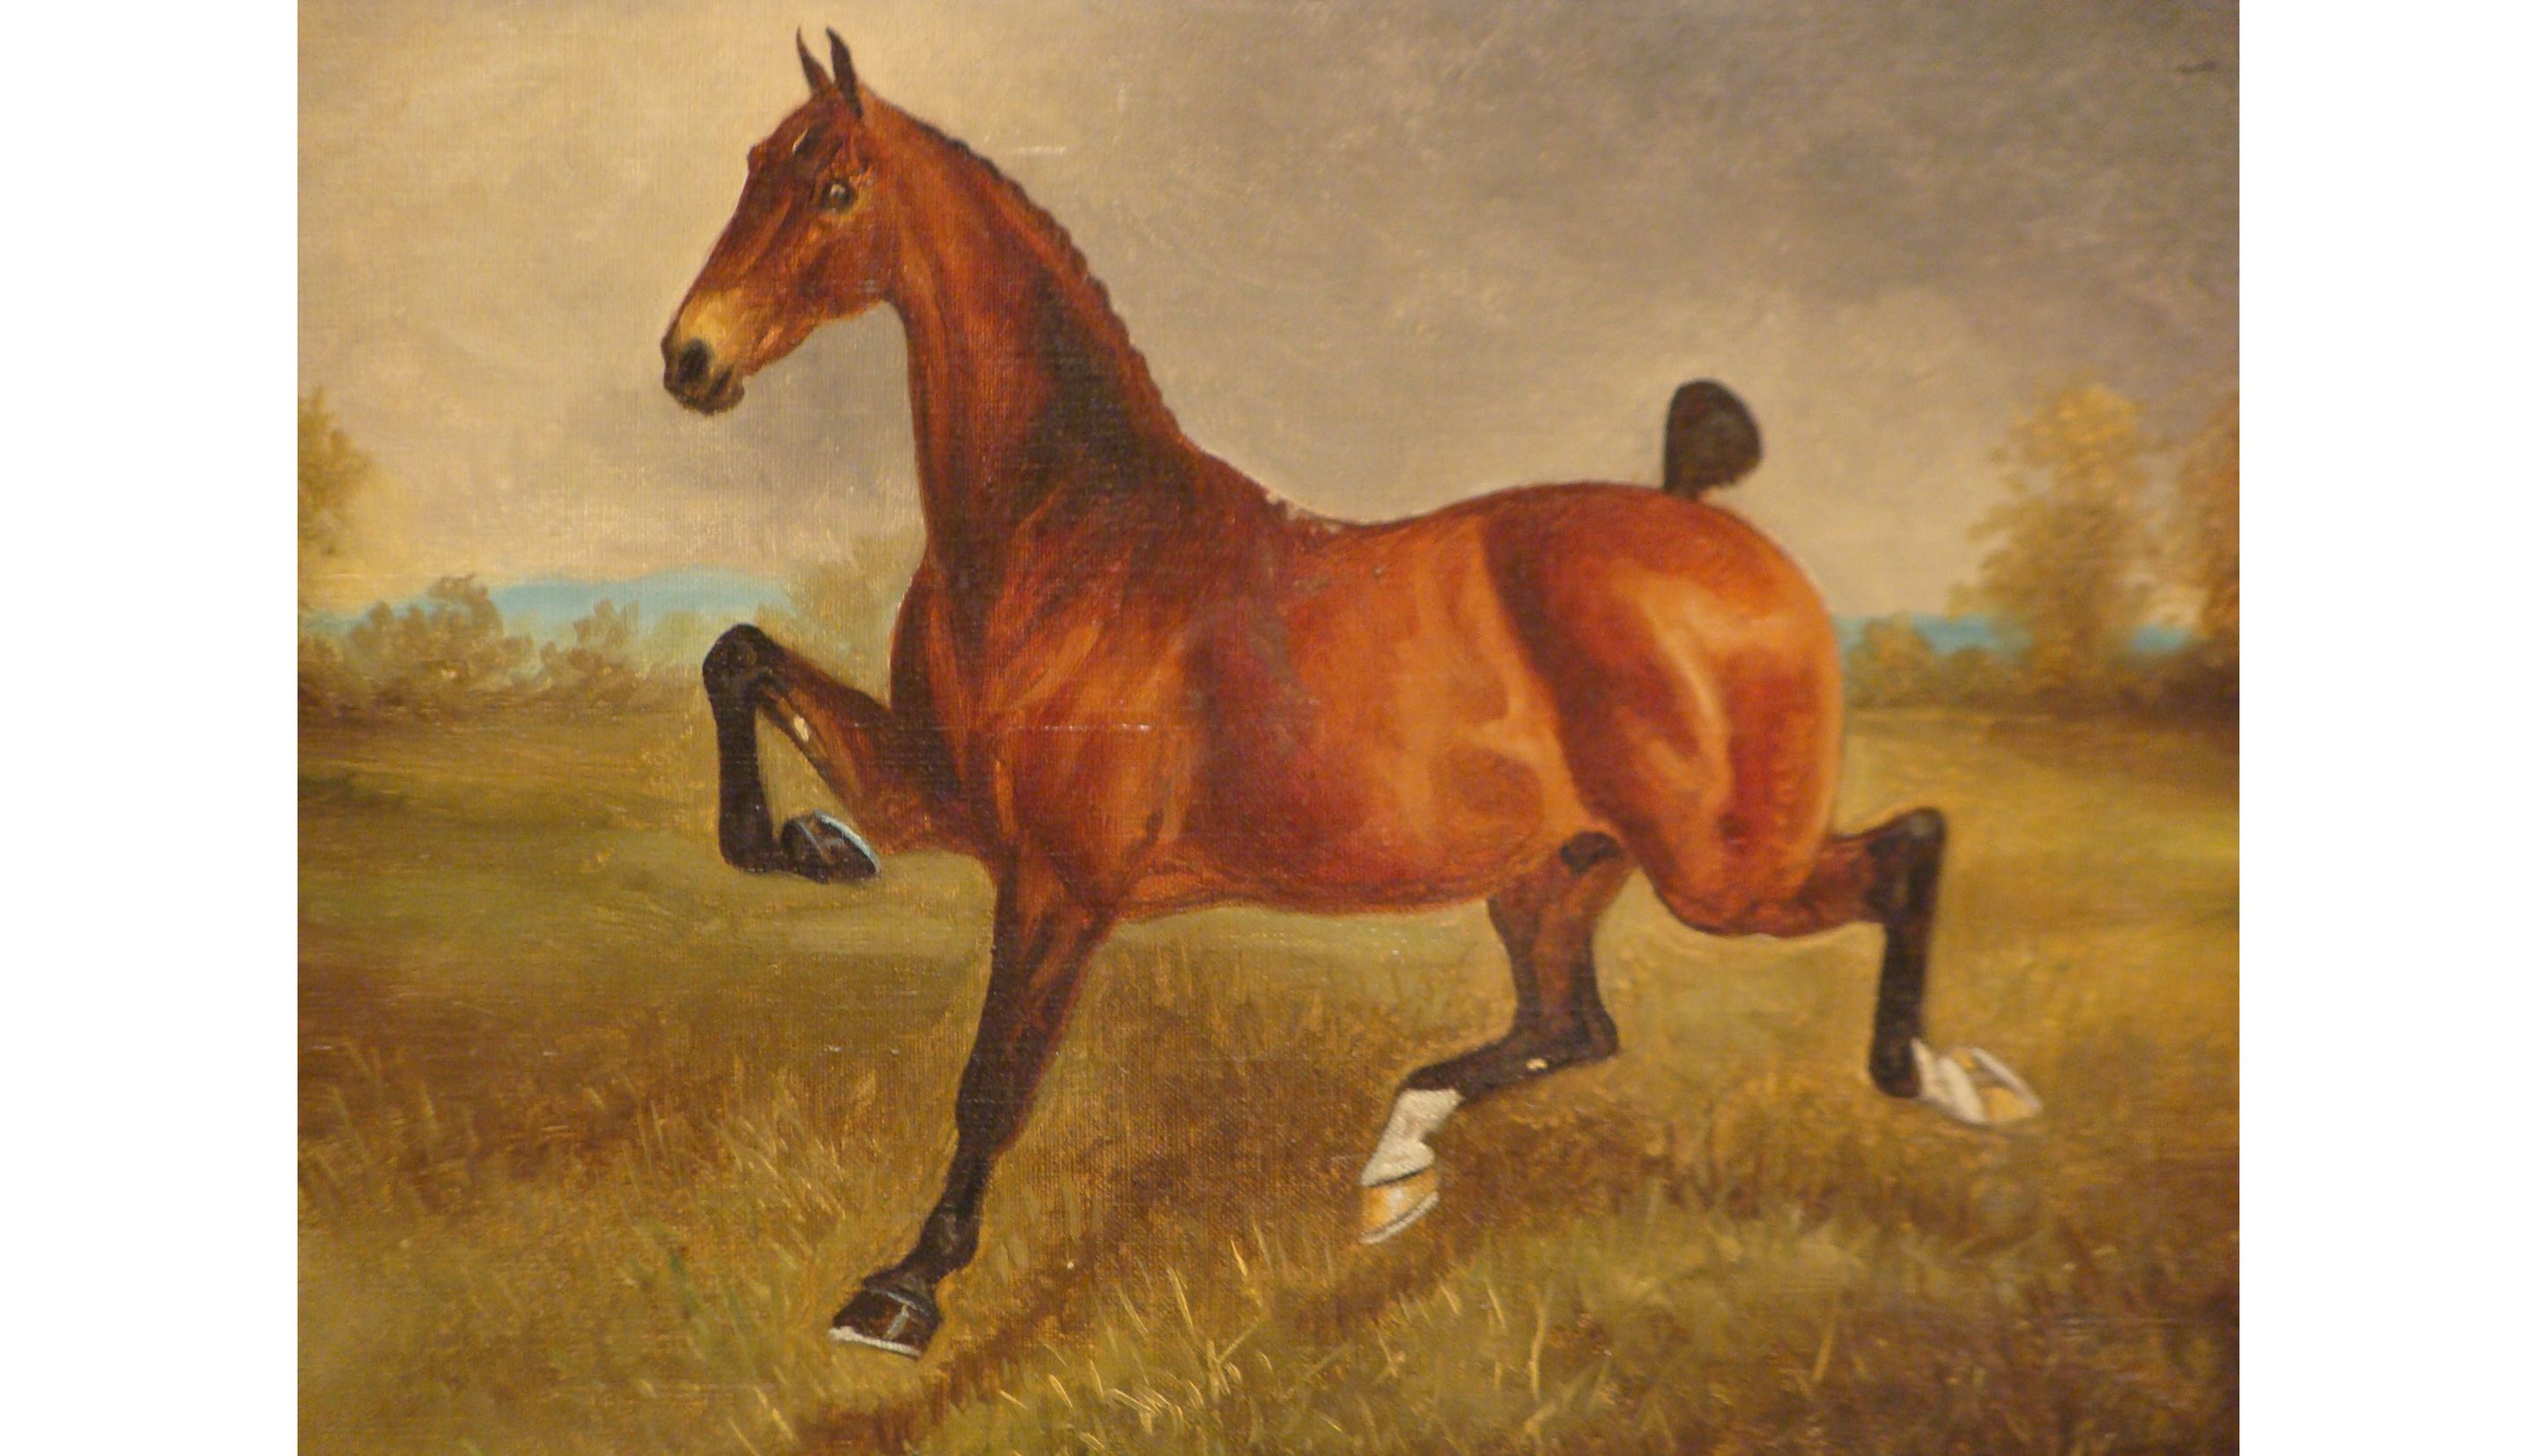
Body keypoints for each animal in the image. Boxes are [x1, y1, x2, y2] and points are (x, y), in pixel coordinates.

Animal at [661, 31, 2037, 1359]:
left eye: (836, 189)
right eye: (751, 165)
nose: (690, 358)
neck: (1072, 538)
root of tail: (1718, 532)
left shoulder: (1059, 883)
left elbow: (995, 1081)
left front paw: (903, 1293)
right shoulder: (937, 798)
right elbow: (737, 659)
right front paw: (812, 844)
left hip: (1724, 873)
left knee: (1906, 849)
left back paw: (1952, 1082)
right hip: (1559, 873)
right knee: (1575, 1021)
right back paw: (1396, 1169)